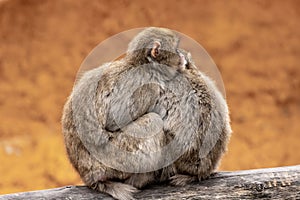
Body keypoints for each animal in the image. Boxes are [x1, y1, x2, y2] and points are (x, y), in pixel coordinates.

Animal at [62, 27, 232, 200]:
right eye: (176, 49)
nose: (182, 56)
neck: (142, 64)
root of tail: (90, 177)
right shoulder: (148, 83)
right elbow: (114, 118)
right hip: (113, 159)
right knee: (152, 121)